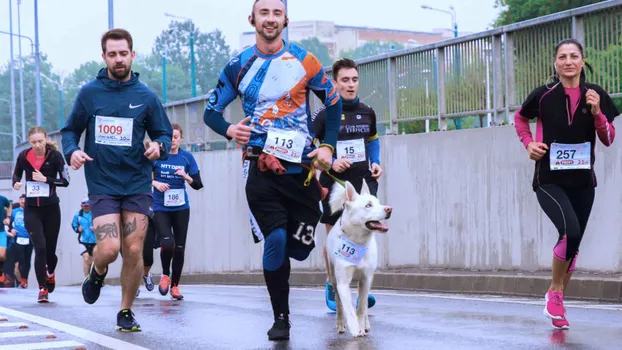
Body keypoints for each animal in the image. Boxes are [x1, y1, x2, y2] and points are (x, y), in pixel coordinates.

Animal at [326, 179, 390, 338]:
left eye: (379, 202)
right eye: (368, 205)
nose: (389, 209)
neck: (358, 242)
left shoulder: (366, 279)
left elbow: (361, 307)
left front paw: (361, 326)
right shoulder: (342, 282)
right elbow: (348, 308)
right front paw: (355, 329)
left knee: (365, 303)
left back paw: (366, 325)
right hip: (334, 278)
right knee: (339, 304)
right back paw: (340, 324)